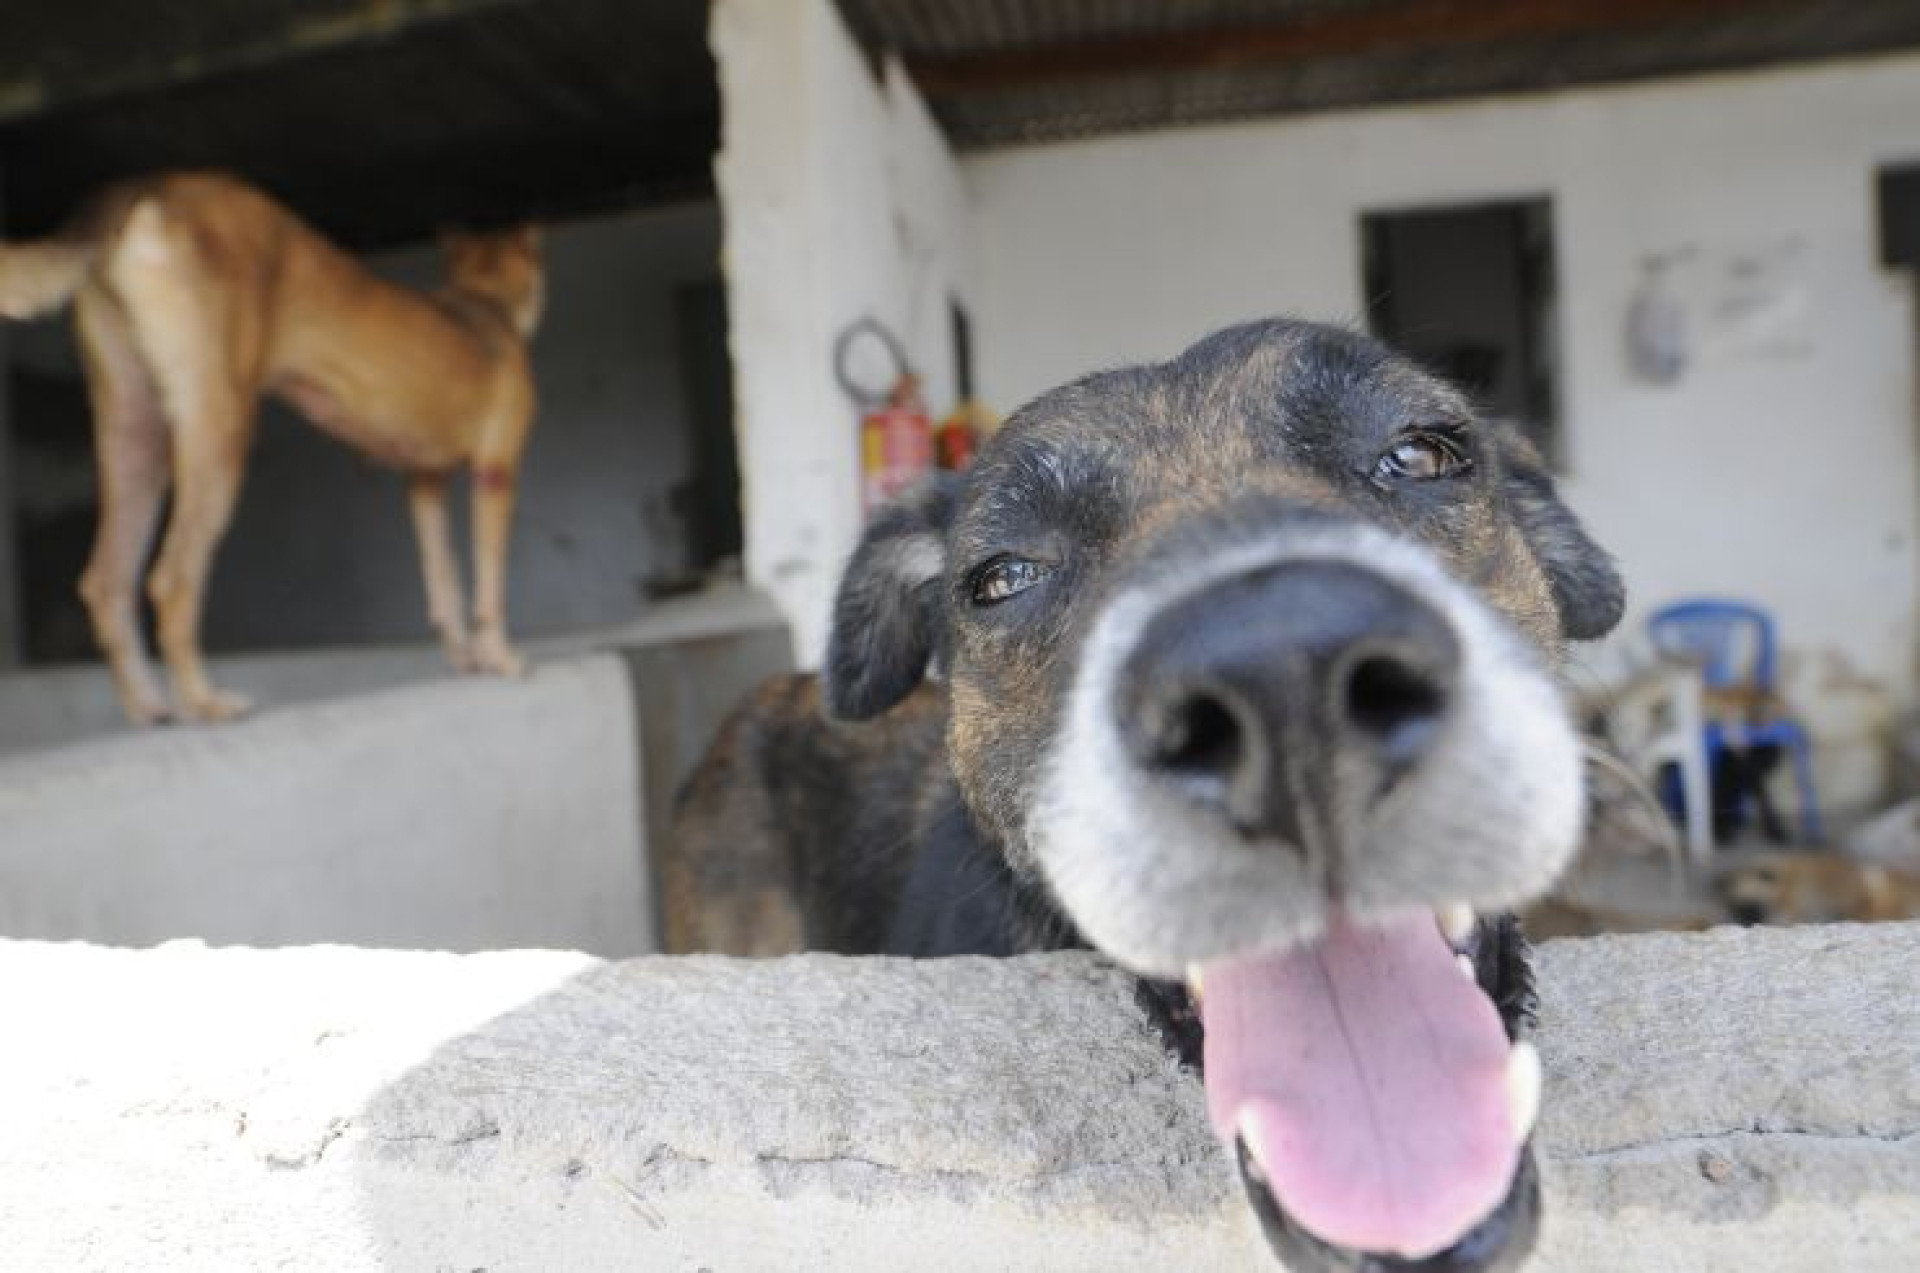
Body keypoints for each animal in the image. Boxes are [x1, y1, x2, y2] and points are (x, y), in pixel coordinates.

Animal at [1, 172, 541, 721]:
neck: (485, 300)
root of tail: (148, 184)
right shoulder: (497, 472)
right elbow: (488, 584)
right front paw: (500, 658)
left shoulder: (424, 483)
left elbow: (444, 580)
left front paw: (465, 660)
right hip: (219, 432)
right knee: (172, 579)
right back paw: (204, 702)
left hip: (134, 435)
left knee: (107, 581)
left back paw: (150, 709)